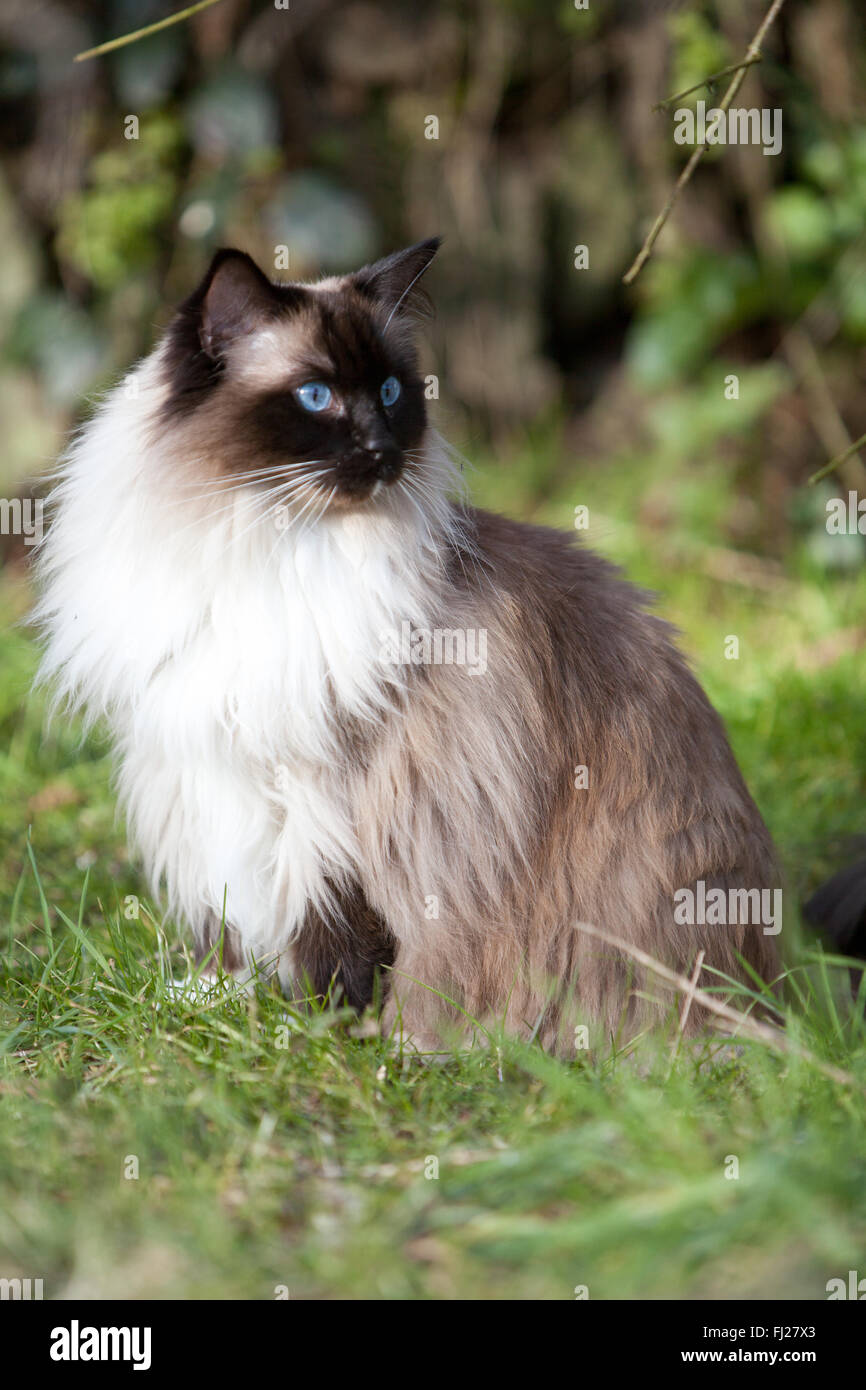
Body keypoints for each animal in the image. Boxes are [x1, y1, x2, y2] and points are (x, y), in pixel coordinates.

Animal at [33, 241, 783, 1050]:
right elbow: (232, 928)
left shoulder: (328, 800)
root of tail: (758, 1005)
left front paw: (319, 1035)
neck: (265, 546)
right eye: (316, 397)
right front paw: (218, 1001)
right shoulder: (211, 777)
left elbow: (336, 939)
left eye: (391, 391)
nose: (383, 449)